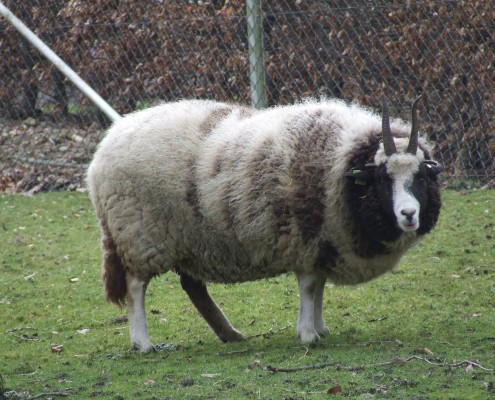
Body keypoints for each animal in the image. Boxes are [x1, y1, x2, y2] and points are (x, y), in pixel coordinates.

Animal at [87, 95, 444, 352]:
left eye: (421, 177)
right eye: (383, 179)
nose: (409, 214)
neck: (343, 170)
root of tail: (101, 153)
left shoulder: (322, 243)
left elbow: (319, 288)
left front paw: (320, 326)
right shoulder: (307, 238)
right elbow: (310, 287)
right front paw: (308, 334)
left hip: (192, 238)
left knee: (193, 286)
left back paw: (230, 334)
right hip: (140, 234)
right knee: (136, 287)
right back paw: (143, 343)